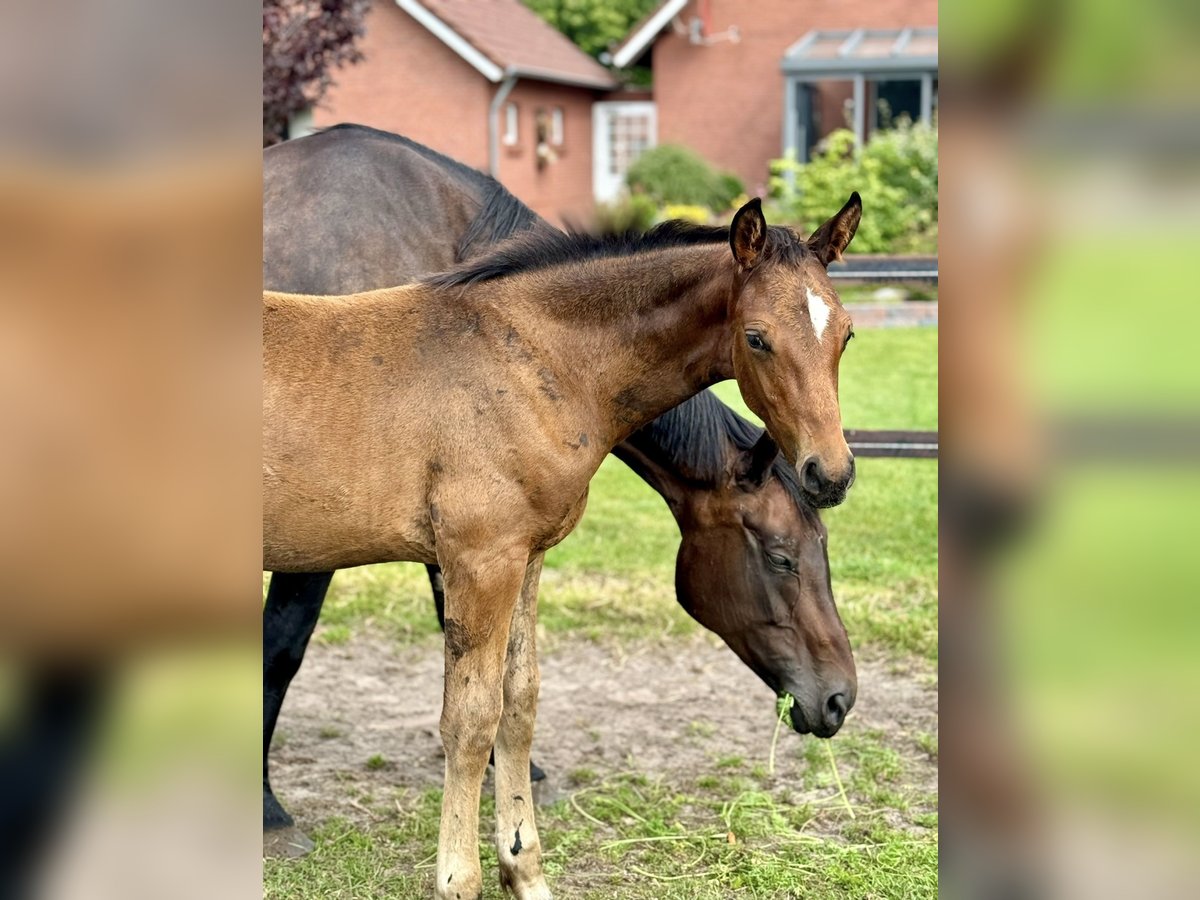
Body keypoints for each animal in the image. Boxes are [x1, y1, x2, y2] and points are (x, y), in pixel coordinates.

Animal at [265, 160, 864, 897]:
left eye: (846, 334)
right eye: (757, 337)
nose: (830, 473)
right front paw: (459, 880)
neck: (529, 360)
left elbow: (518, 706)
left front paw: (525, 870)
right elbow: (471, 720)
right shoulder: (479, 559)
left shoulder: (527, 556)